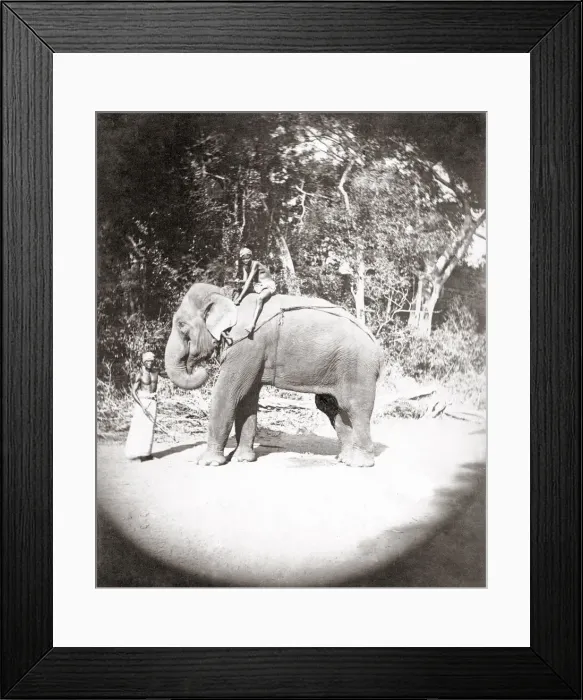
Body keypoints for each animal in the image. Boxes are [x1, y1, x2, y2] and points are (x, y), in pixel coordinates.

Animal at [164, 283, 383, 467]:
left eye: (181, 325)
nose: (201, 369)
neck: (230, 296)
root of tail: (375, 342)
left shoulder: (247, 344)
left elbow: (227, 393)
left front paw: (207, 462)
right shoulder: (253, 353)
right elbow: (247, 399)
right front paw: (243, 459)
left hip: (358, 366)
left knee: (355, 408)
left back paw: (360, 463)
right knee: (331, 407)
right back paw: (344, 459)